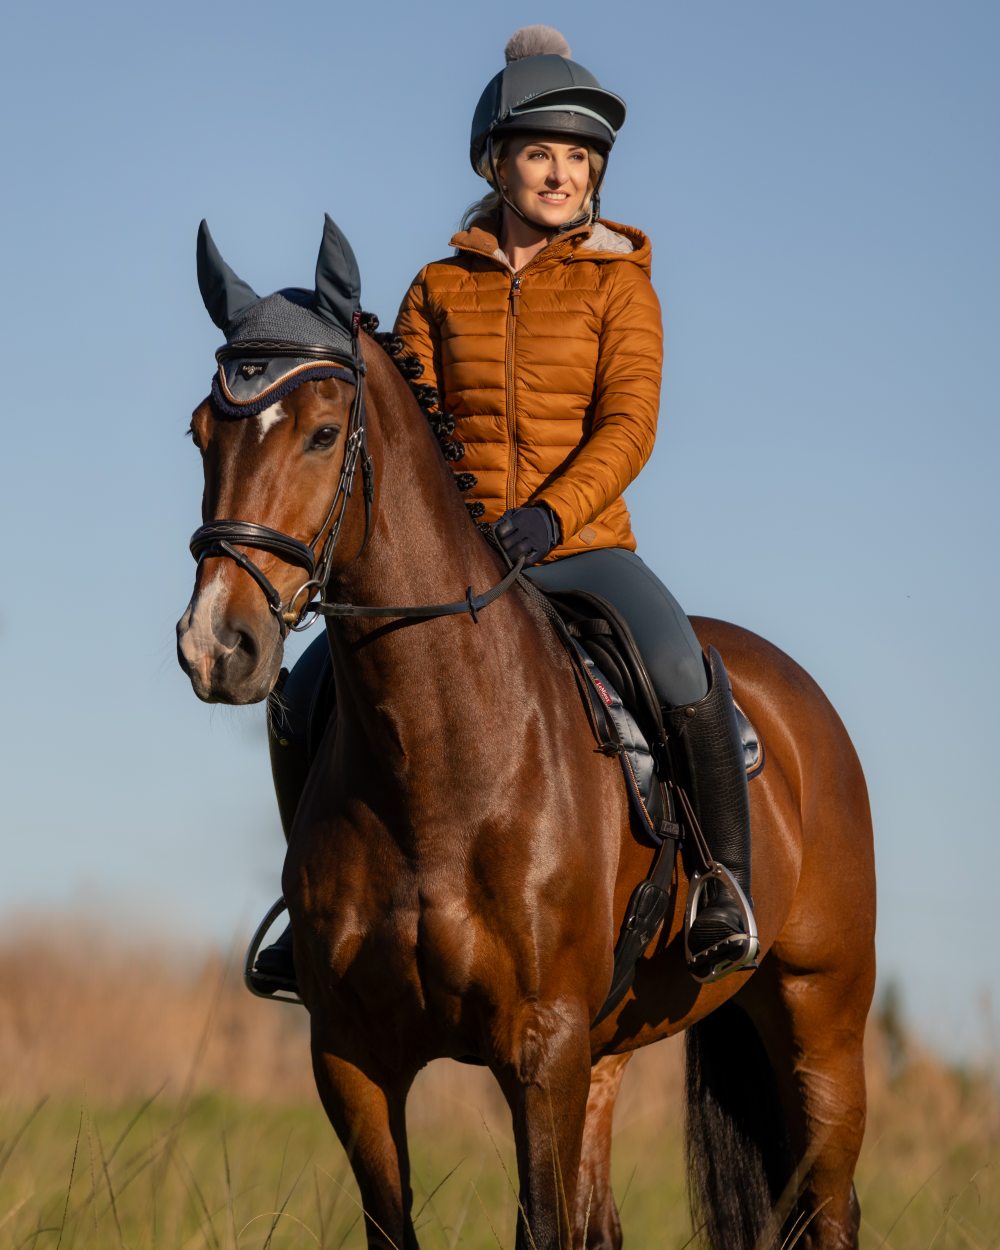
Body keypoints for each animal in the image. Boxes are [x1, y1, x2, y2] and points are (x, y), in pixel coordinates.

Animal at [177, 220, 875, 1250]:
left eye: (322, 432)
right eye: (200, 431)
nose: (216, 645)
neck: (441, 762)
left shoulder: (539, 1050)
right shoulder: (355, 1060)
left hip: (821, 1024)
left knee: (828, 1208)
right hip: (612, 1050)